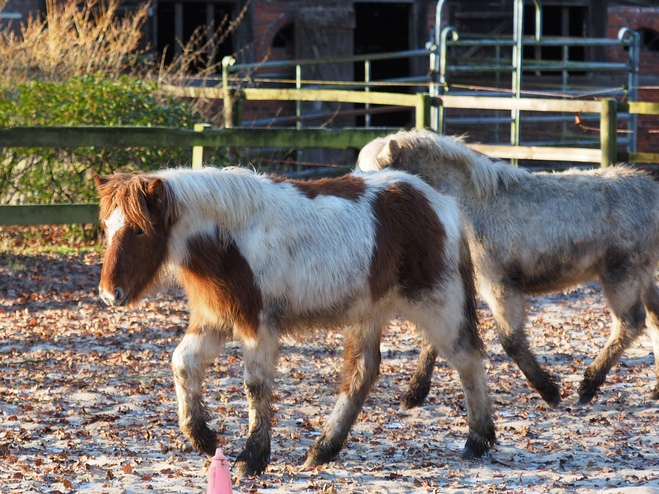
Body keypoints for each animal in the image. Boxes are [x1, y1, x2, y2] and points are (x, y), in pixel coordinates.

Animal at [91, 167, 496, 474]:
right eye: (107, 227)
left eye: (139, 229)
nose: (110, 294)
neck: (230, 239)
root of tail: (440, 202)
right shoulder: (215, 320)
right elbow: (182, 363)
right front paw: (204, 438)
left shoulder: (257, 326)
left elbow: (255, 386)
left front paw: (251, 458)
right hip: (369, 313)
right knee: (361, 374)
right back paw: (323, 449)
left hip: (436, 303)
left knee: (466, 357)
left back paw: (478, 440)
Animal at [358, 127, 659, 410]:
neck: (470, 208)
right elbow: (434, 339)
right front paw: (414, 394)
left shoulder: (499, 284)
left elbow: (510, 339)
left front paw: (549, 392)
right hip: (643, 277)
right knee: (654, 321)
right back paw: (653, 390)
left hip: (622, 275)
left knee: (630, 324)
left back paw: (588, 386)